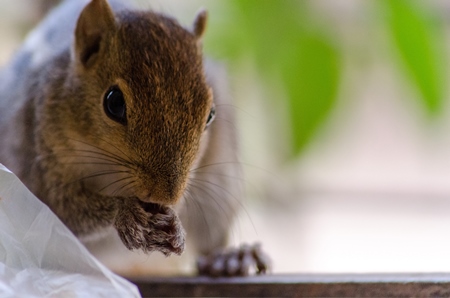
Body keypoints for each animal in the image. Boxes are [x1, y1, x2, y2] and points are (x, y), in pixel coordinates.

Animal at [0, 0, 268, 276]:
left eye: (211, 114)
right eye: (114, 103)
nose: (165, 197)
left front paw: (174, 223)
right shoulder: (37, 157)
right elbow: (63, 208)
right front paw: (125, 212)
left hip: (219, 186)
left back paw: (228, 258)